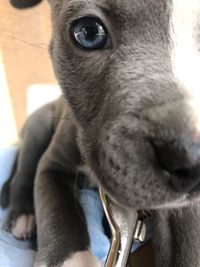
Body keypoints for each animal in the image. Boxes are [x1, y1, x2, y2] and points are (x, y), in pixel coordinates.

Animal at [2, 0, 200, 266]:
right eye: (89, 33)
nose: (190, 158)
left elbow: (188, 243)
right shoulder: (52, 165)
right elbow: (58, 212)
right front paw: (73, 259)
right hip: (37, 127)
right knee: (23, 171)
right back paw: (23, 216)